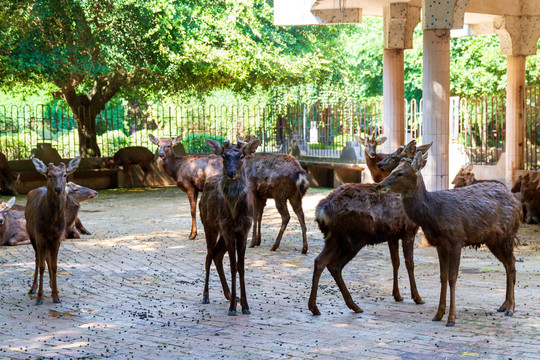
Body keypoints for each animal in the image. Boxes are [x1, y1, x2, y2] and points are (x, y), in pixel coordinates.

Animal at [26, 156, 81, 306]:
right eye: (49, 175)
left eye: (65, 174)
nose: (58, 189)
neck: (51, 223)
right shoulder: (40, 235)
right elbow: (41, 266)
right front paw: (39, 297)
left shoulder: (58, 237)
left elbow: (54, 265)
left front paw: (56, 295)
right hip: (30, 233)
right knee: (38, 259)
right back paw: (33, 288)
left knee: (47, 259)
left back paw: (51, 286)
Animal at [199, 138, 260, 316]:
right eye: (224, 156)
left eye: (241, 156)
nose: (231, 173)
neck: (235, 214)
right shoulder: (227, 228)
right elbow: (233, 266)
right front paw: (233, 308)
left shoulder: (244, 229)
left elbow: (241, 266)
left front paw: (245, 305)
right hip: (209, 225)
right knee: (209, 256)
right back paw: (206, 296)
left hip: (222, 232)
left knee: (217, 255)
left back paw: (230, 295)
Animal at [376, 150, 524, 328]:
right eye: (393, 169)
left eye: (400, 173)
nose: (378, 186)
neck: (433, 214)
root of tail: (518, 203)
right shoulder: (440, 245)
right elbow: (443, 277)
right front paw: (438, 314)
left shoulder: (456, 240)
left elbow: (453, 278)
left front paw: (451, 318)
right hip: (493, 240)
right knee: (508, 264)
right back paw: (503, 306)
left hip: (507, 234)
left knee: (511, 264)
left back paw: (511, 308)